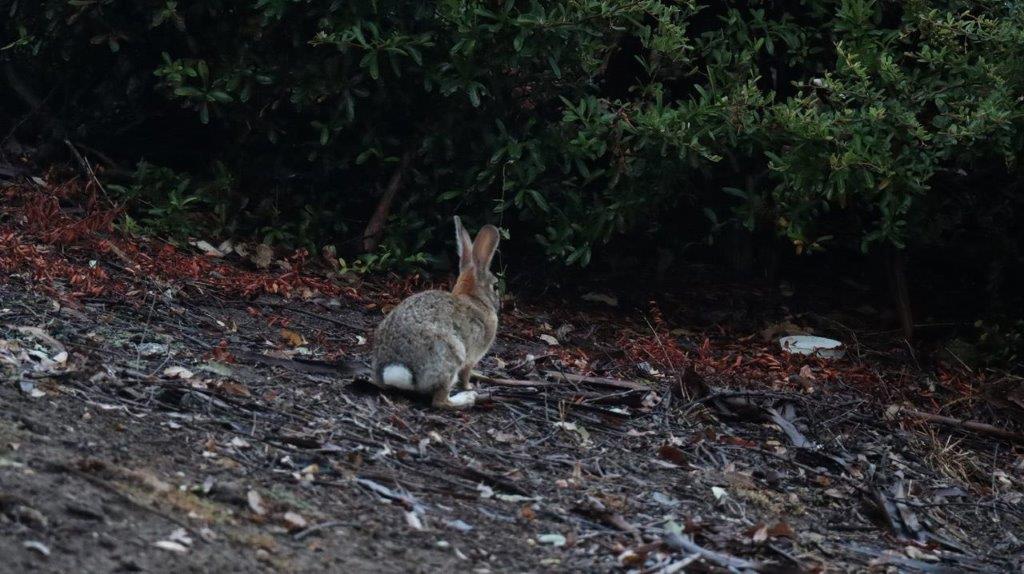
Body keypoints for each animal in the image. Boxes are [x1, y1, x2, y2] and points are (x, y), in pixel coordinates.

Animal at [370, 214, 501, 407]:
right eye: (495, 286)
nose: (499, 303)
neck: (474, 298)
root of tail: (397, 370)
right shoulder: (471, 358)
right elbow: (466, 374)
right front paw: (469, 386)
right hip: (453, 355)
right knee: (440, 401)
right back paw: (466, 398)